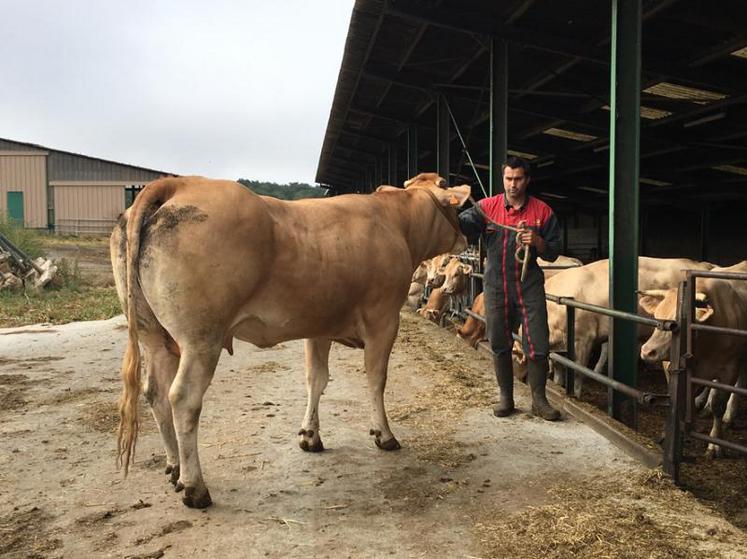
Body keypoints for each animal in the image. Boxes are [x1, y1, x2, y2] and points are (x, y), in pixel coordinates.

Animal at [112, 173, 470, 510]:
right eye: (451, 198)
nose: (467, 236)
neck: (397, 222)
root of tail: (178, 184)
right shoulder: (383, 320)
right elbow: (376, 380)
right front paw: (384, 434)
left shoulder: (319, 326)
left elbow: (316, 379)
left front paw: (310, 436)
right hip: (201, 339)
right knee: (183, 399)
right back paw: (195, 488)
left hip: (155, 336)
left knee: (155, 393)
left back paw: (174, 468)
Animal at [640, 262, 747, 460]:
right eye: (657, 317)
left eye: (674, 323)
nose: (647, 351)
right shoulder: (671, 366)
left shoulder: (729, 367)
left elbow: (718, 404)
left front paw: (715, 444)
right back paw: (702, 404)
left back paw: (728, 415)